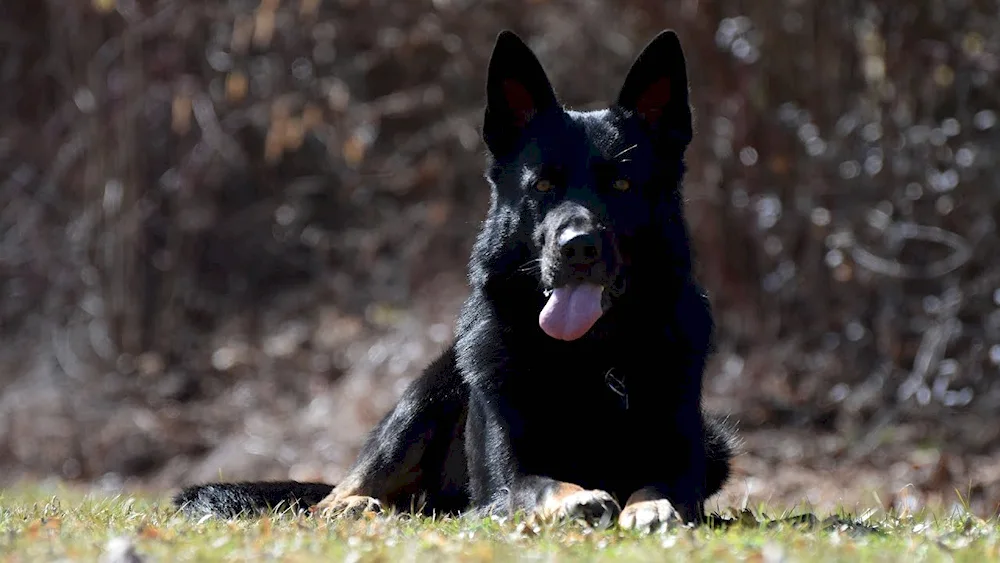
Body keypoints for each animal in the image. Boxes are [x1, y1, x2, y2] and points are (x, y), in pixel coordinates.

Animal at [170, 28, 736, 532]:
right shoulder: (508, 473)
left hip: (716, 445)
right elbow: (539, 484)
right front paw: (577, 499)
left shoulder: (683, 459)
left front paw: (651, 507)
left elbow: (663, 485)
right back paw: (352, 507)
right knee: (331, 496)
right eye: (542, 186)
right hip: (428, 394)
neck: (589, 358)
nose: (578, 247)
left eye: (621, 184)